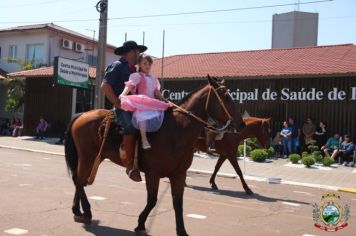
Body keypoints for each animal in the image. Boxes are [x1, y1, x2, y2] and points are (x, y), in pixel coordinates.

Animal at [64, 76, 245, 236]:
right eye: (225, 97)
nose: (241, 124)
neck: (176, 130)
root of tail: (81, 115)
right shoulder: (153, 173)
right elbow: (152, 200)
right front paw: (140, 224)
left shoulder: (179, 175)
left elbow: (178, 203)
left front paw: (182, 231)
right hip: (87, 157)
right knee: (79, 180)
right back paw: (87, 212)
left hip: (92, 158)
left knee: (79, 180)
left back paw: (77, 210)